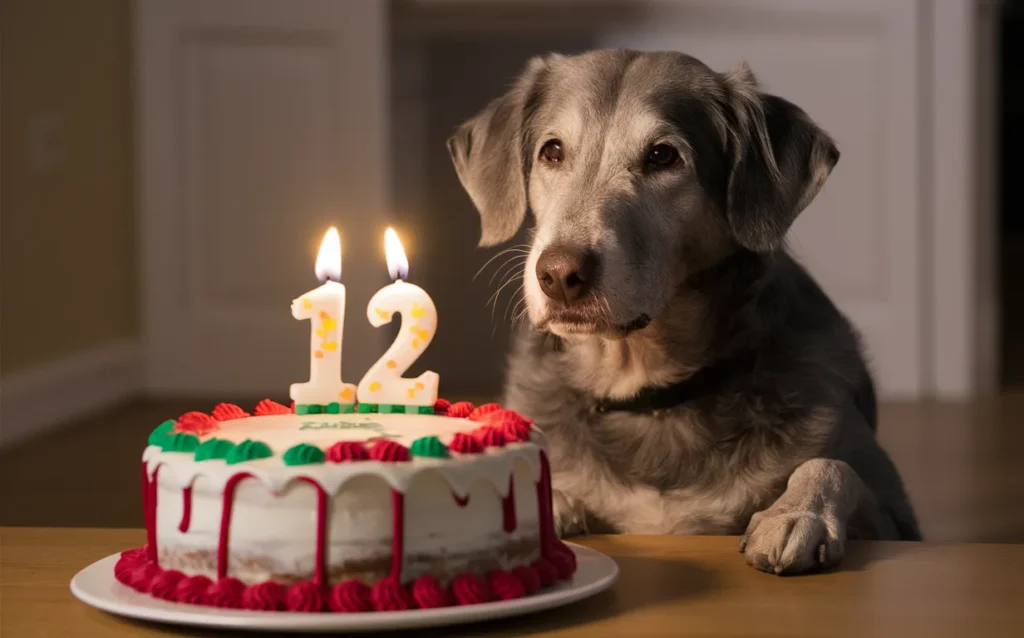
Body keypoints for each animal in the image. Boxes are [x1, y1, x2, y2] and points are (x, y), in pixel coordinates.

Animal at [448, 52, 921, 577]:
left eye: (662, 156)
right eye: (552, 152)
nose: (558, 273)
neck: (647, 390)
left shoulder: (899, 517)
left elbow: (834, 466)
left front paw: (797, 514)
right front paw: (550, 504)